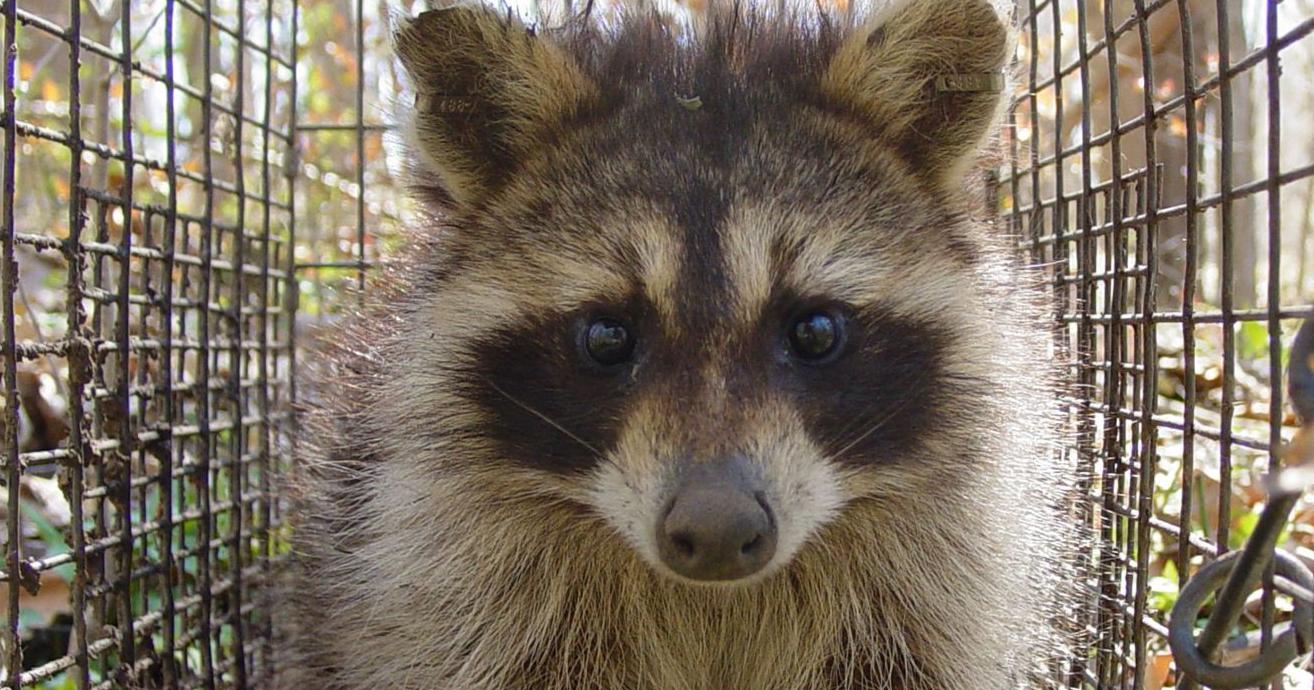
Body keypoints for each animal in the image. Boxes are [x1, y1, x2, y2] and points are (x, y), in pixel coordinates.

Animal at [280, 1, 1079, 688]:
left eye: (814, 331)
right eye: (607, 337)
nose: (719, 531)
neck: (714, 601)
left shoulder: (932, 593)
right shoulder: (438, 579)